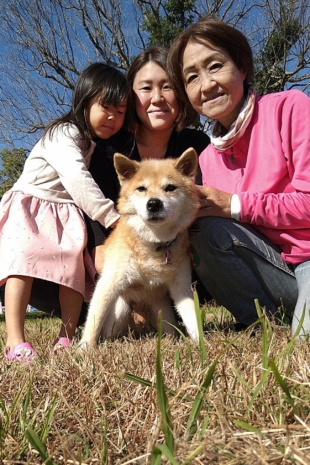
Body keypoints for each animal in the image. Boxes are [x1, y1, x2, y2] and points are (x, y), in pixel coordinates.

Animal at [80, 148, 200, 344]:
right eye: (141, 188)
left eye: (170, 188)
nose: (154, 203)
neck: (154, 243)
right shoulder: (108, 284)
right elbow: (94, 322)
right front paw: (84, 347)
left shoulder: (181, 286)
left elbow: (191, 316)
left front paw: (202, 343)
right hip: (120, 310)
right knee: (108, 333)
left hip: (163, 312)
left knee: (169, 329)